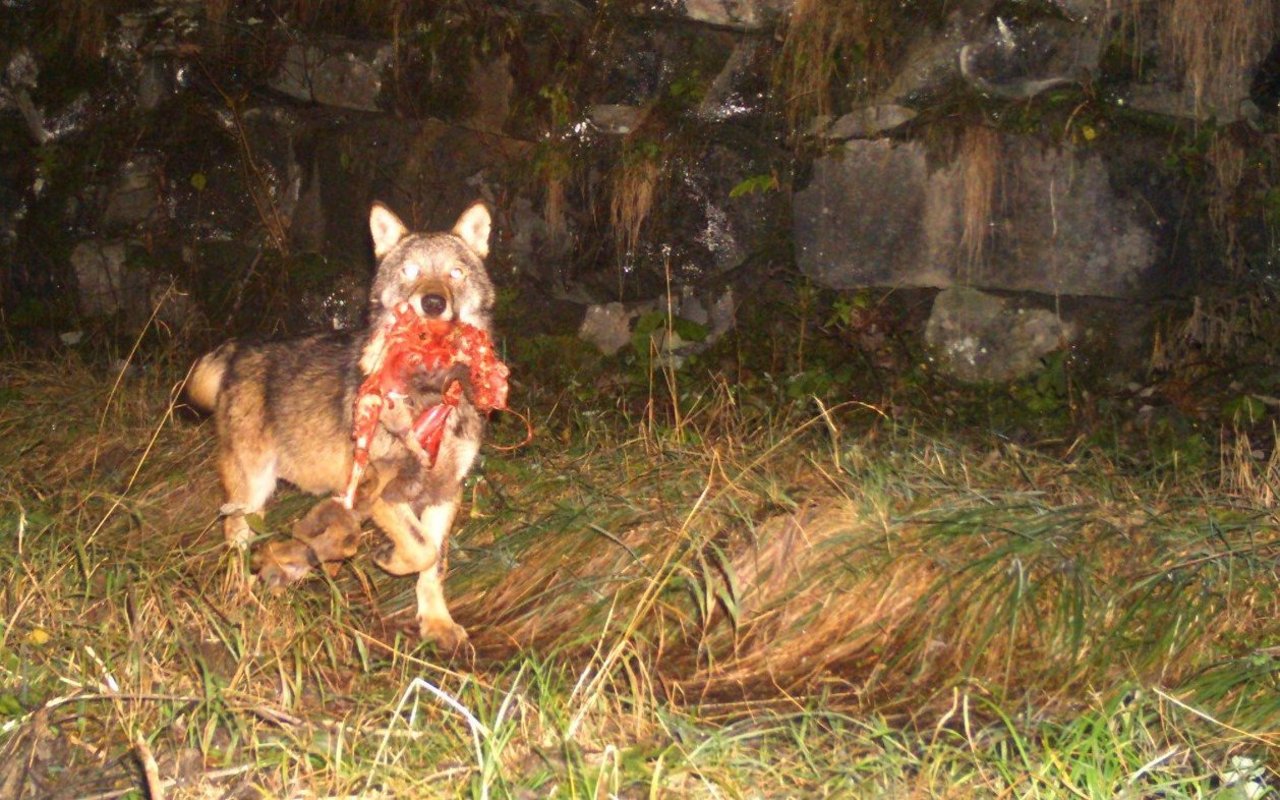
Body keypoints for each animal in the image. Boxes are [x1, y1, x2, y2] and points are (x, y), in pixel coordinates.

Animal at [185, 200, 494, 650]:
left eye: (455, 272)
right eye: (410, 271)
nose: (434, 302)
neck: (428, 391)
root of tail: (237, 349)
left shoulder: (445, 492)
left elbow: (433, 562)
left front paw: (437, 624)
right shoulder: (380, 490)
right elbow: (421, 549)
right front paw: (389, 560)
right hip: (253, 487)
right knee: (234, 535)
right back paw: (243, 600)